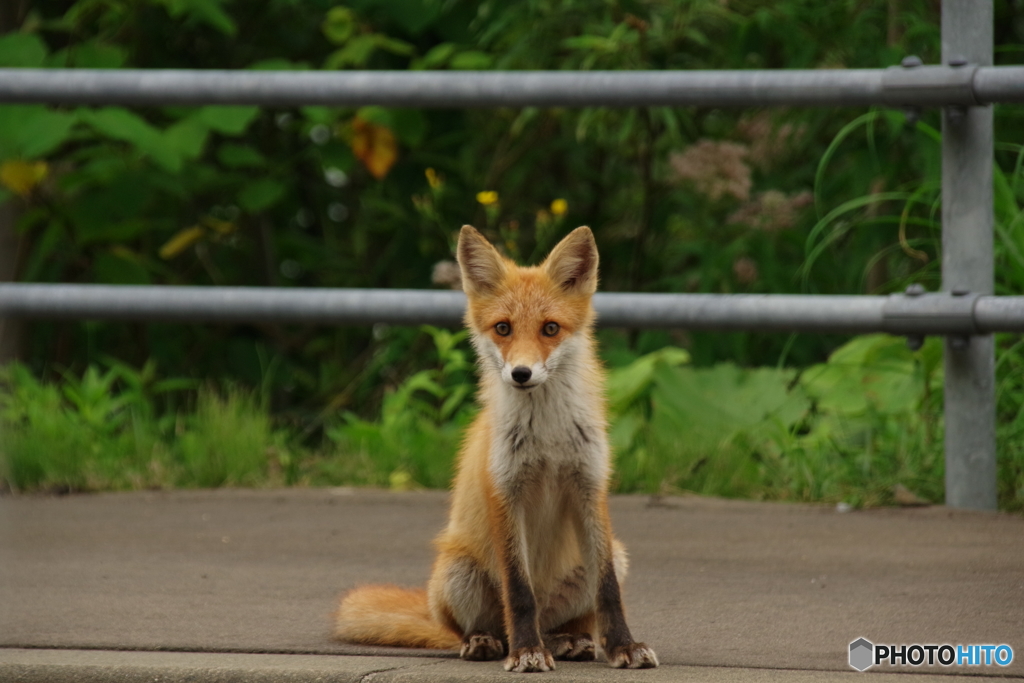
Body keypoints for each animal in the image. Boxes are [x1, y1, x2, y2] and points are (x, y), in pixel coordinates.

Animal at [335, 225, 655, 671]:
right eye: (503, 328)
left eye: (550, 329)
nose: (521, 373)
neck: (547, 438)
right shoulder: (505, 491)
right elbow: (518, 591)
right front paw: (527, 653)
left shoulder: (590, 487)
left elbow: (608, 589)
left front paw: (624, 646)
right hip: (458, 571)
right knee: (488, 628)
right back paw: (489, 642)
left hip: (612, 560)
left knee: (565, 621)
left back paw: (566, 640)